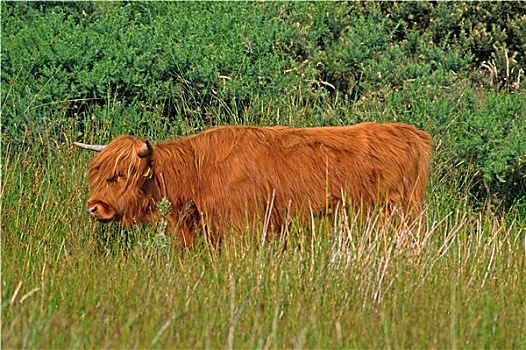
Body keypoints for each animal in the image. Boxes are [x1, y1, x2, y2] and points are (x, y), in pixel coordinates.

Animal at [76, 122, 436, 246]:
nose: (93, 208)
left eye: (120, 174)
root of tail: (412, 133)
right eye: (97, 173)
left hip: (397, 214)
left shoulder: (242, 228)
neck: (197, 172)